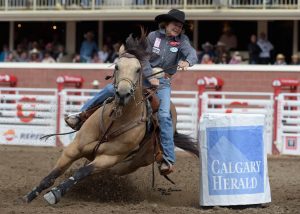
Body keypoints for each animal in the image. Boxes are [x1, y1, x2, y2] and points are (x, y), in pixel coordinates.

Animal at [24, 28, 199, 204]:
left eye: (138, 69)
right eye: (116, 66)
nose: (123, 94)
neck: (115, 121)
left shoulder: (108, 158)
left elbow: (82, 172)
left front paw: (55, 194)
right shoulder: (75, 148)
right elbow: (53, 173)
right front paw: (30, 195)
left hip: (128, 165)